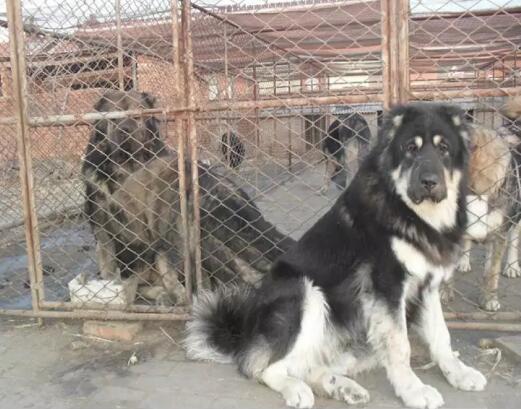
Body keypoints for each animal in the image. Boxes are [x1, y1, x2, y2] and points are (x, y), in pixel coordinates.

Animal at [185, 103, 486, 408]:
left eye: (444, 148)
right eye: (410, 149)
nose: (429, 182)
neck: (414, 213)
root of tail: (244, 336)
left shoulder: (428, 285)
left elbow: (441, 335)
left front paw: (459, 373)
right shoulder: (387, 286)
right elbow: (401, 345)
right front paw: (413, 390)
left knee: (309, 365)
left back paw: (342, 388)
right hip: (304, 292)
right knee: (263, 367)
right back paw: (296, 389)